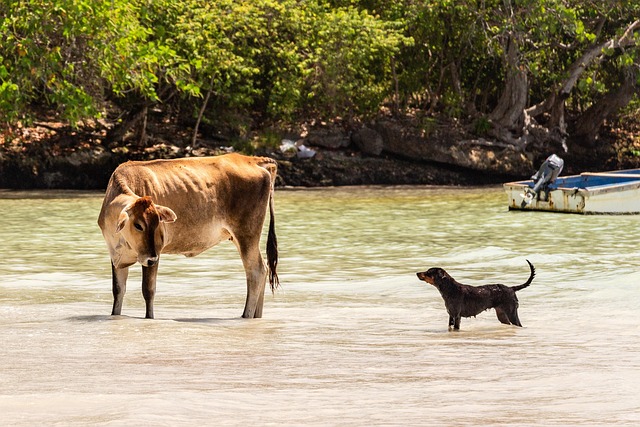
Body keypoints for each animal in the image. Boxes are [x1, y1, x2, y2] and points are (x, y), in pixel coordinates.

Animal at [97, 153, 279, 319]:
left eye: (158, 224)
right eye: (138, 225)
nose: (152, 259)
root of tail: (252, 160)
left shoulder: (154, 253)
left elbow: (148, 291)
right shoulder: (116, 255)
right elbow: (118, 290)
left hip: (247, 234)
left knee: (256, 271)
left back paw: (246, 315)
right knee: (264, 268)